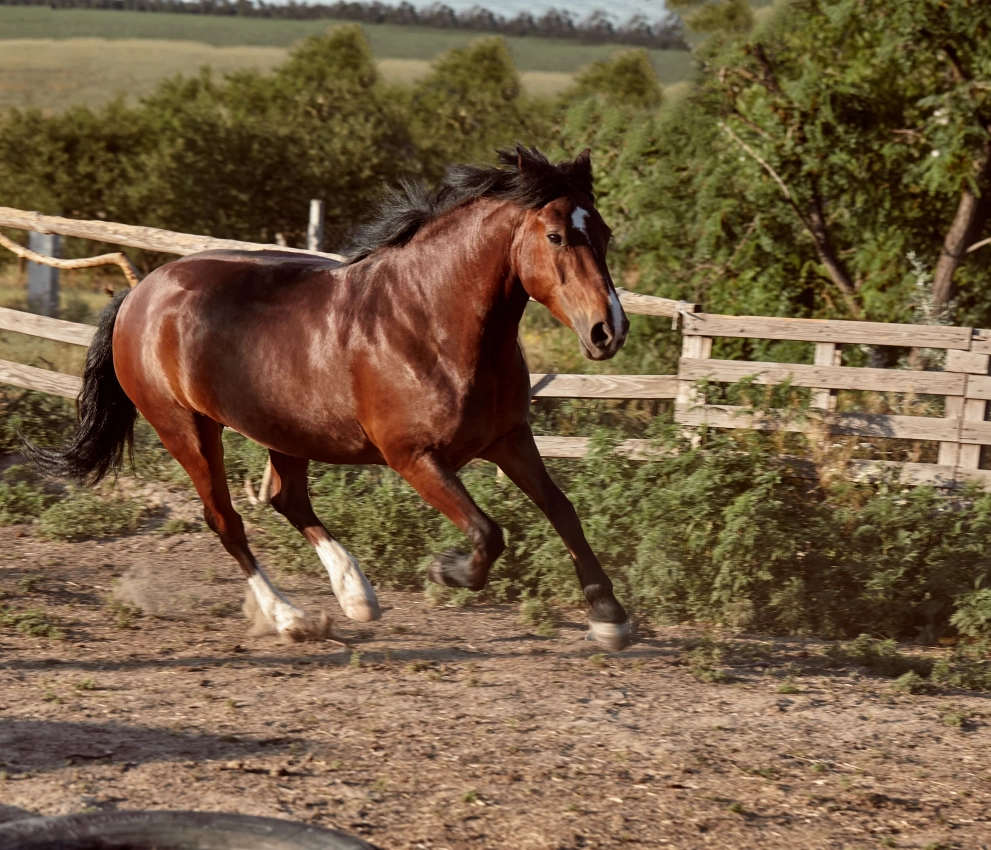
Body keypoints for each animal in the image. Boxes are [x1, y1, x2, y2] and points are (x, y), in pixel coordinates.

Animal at [31, 144, 640, 648]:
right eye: (556, 236)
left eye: (605, 233)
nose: (608, 331)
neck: (431, 321)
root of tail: (140, 293)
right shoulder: (414, 457)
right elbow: (488, 533)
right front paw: (446, 571)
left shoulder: (509, 438)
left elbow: (562, 511)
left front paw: (610, 618)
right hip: (187, 429)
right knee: (226, 519)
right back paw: (290, 618)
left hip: (284, 429)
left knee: (287, 499)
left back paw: (356, 596)